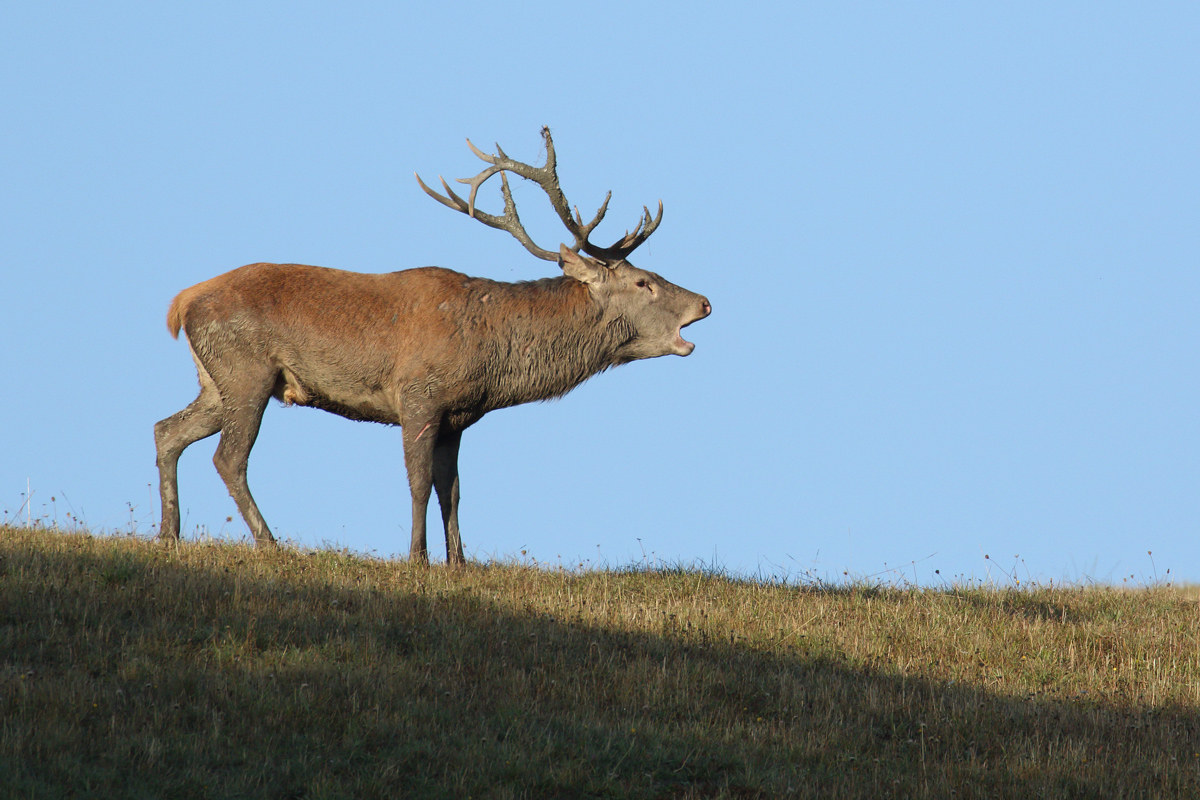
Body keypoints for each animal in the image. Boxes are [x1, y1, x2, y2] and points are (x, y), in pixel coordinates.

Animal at [153, 126, 711, 564]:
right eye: (643, 282)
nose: (704, 302)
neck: (491, 358)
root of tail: (182, 303)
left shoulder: (457, 417)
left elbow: (454, 490)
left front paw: (459, 561)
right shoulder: (419, 396)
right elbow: (419, 481)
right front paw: (417, 558)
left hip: (215, 381)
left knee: (167, 431)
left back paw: (168, 534)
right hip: (247, 369)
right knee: (229, 457)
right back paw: (270, 543)